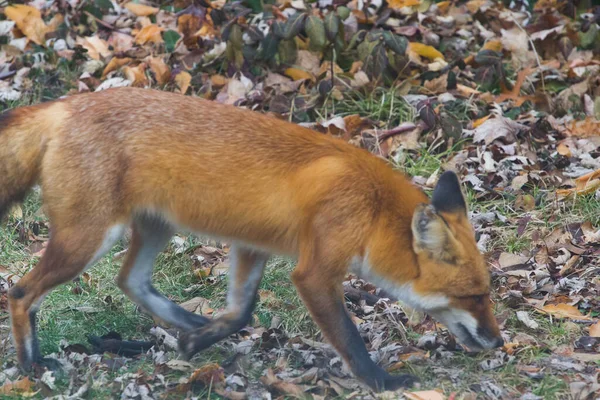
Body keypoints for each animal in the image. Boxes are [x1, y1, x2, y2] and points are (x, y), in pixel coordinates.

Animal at [1, 87, 502, 390]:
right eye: (473, 296)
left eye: (487, 294)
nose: (499, 343)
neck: (373, 208)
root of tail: (65, 104)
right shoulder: (316, 272)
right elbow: (349, 339)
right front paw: (381, 382)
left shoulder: (252, 246)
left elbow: (242, 311)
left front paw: (200, 343)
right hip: (87, 241)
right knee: (21, 292)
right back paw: (31, 366)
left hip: (155, 227)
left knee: (131, 281)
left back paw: (189, 326)